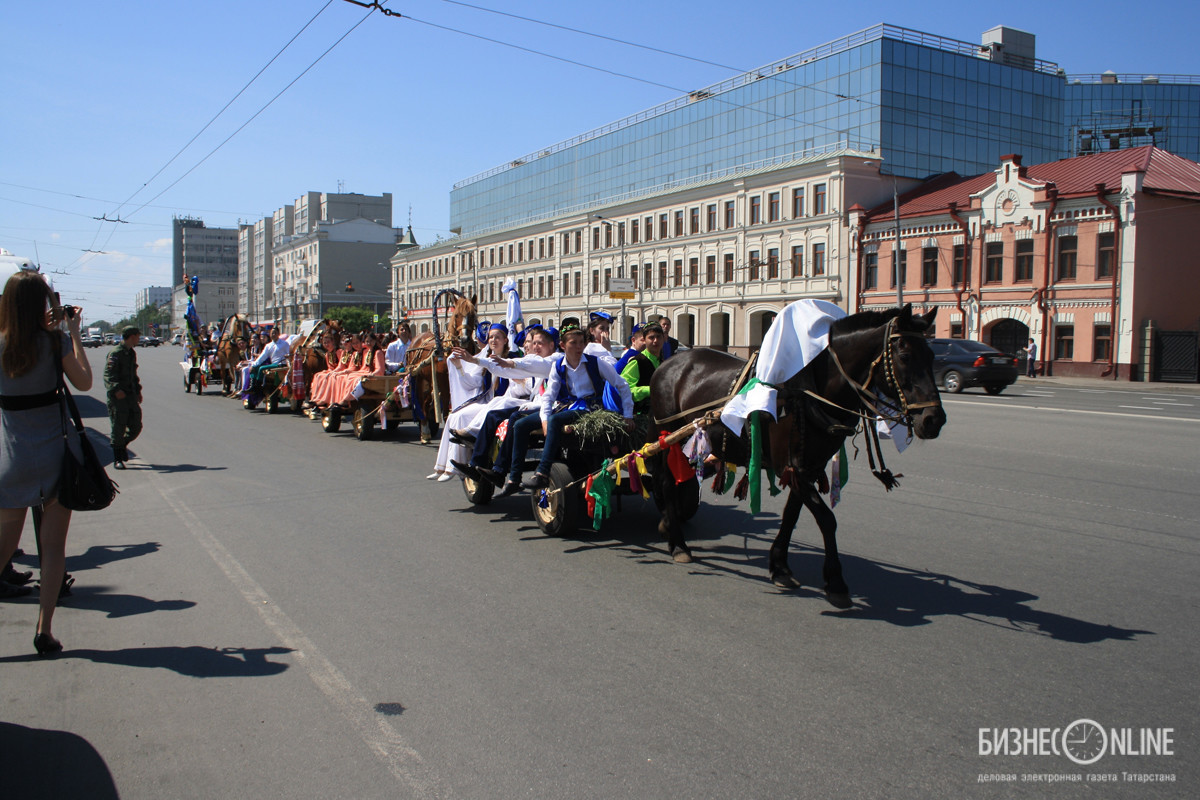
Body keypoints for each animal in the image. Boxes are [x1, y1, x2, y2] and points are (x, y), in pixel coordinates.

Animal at [405, 289, 475, 443]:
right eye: (457, 315)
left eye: (473, 314)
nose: (464, 339)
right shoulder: (443, 382)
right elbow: (447, 410)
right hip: (419, 379)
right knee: (422, 404)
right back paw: (425, 432)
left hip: (430, 381)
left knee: (426, 403)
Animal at [648, 304, 945, 606]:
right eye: (905, 355)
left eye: (932, 355)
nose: (934, 419)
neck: (808, 391)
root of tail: (668, 363)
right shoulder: (794, 469)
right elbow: (827, 519)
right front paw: (836, 582)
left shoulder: (808, 468)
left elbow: (792, 515)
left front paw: (780, 567)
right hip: (668, 436)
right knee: (666, 482)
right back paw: (678, 543)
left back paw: (669, 527)